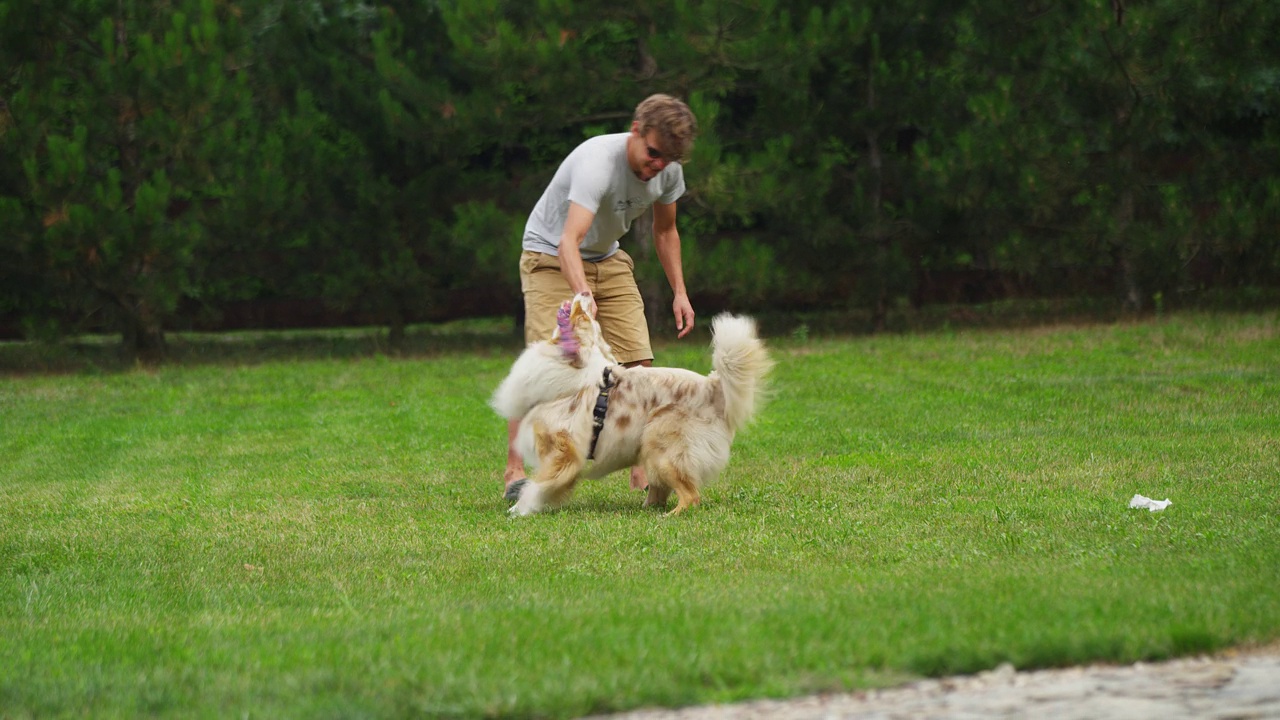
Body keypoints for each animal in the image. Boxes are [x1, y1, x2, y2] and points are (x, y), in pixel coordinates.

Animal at [488, 293, 768, 515]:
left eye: (583, 316)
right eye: (590, 319)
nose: (586, 293)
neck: (572, 366)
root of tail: (713, 386)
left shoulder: (563, 451)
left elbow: (538, 485)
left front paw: (520, 510)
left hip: (661, 444)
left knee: (691, 496)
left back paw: (668, 516)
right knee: (662, 492)